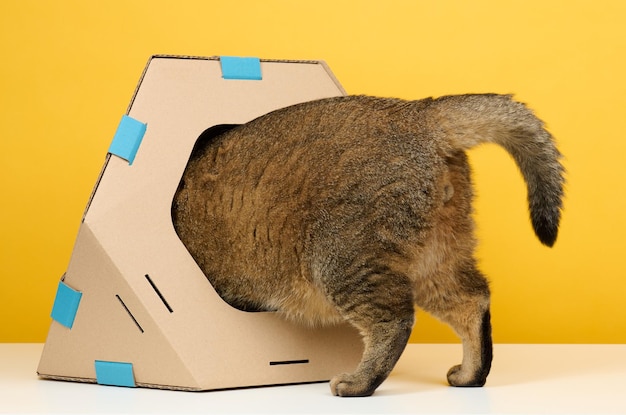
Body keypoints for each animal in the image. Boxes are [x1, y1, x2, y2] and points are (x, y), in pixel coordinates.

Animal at [169, 93, 560, 396]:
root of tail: (420, 113)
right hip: (436, 258)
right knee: (473, 299)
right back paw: (471, 374)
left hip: (342, 259)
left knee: (395, 319)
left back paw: (359, 382)